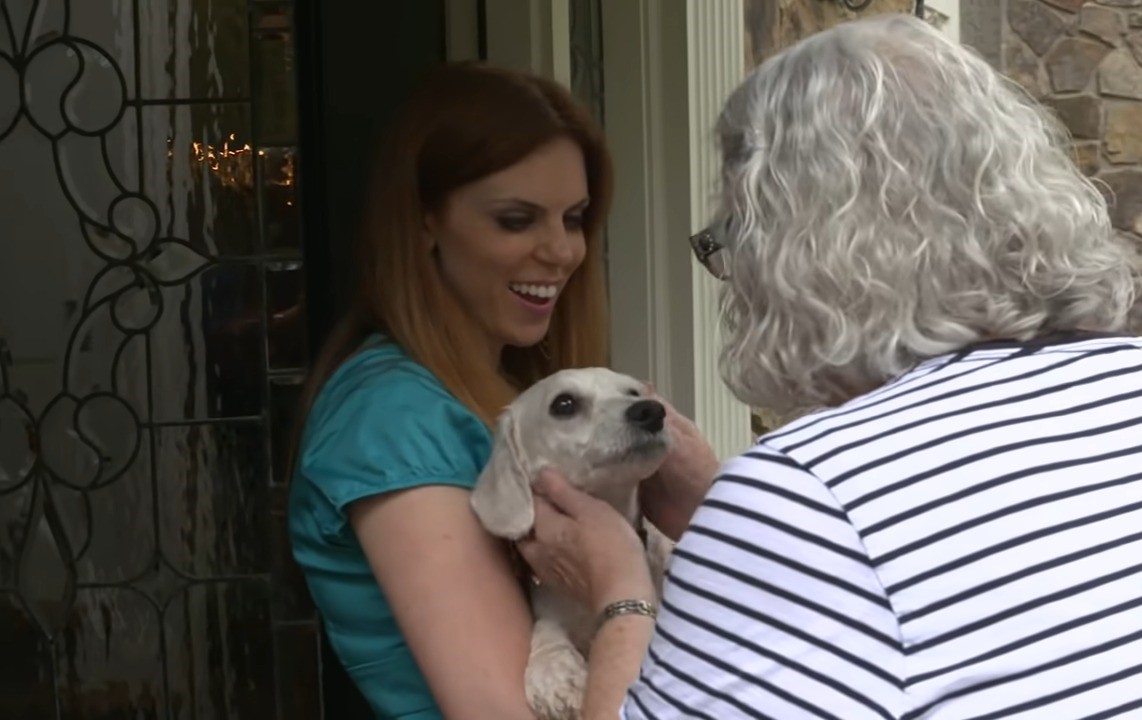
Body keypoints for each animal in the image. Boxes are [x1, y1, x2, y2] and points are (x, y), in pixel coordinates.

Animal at [468, 370, 671, 717]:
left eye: (633, 392)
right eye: (564, 404)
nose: (651, 411)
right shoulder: (549, 605)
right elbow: (547, 629)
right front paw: (554, 671)